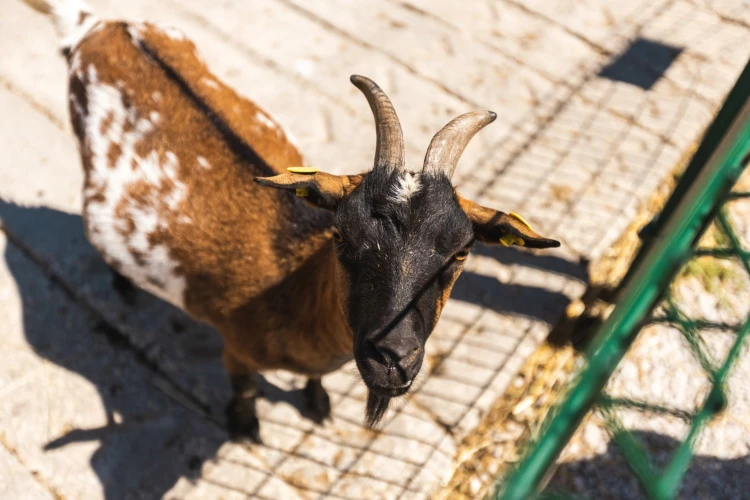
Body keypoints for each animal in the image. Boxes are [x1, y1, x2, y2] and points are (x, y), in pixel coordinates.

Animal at [23, 0, 560, 440]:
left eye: (463, 251)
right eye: (341, 233)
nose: (392, 360)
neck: (291, 283)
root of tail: (100, 25)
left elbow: (314, 379)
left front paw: (318, 403)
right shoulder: (236, 347)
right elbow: (243, 388)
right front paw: (245, 428)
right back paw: (123, 285)